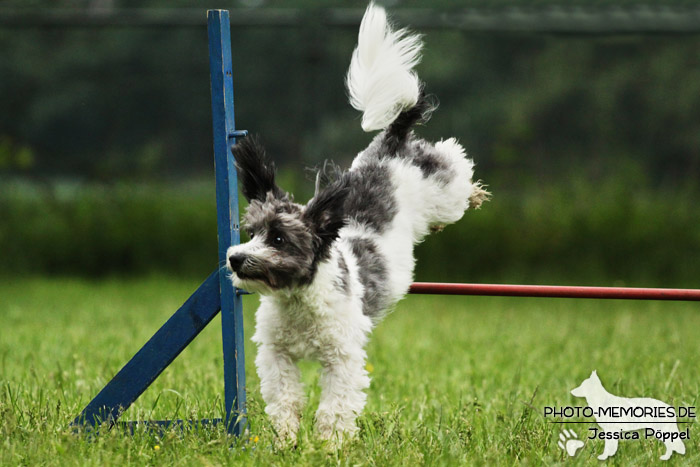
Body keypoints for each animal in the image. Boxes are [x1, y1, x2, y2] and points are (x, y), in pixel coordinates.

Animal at [227, 1, 490, 444]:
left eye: (278, 239)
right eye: (251, 233)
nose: (235, 258)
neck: (298, 299)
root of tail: (392, 143)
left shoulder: (343, 356)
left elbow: (335, 405)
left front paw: (329, 444)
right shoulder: (276, 352)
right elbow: (284, 396)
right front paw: (285, 438)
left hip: (442, 192)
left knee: (454, 161)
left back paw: (474, 193)